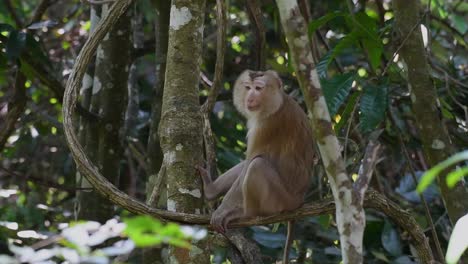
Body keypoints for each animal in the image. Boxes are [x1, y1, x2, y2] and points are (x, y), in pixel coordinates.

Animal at [197, 69, 314, 262]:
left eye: (258, 88)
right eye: (248, 88)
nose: (250, 97)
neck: (276, 102)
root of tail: (300, 200)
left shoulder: (267, 125)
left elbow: (251, 161)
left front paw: (221, 211)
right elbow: (246, 163)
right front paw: (212, 193)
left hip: (281, 200)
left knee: (256, 165)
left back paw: (247, 213)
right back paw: (210, 190)